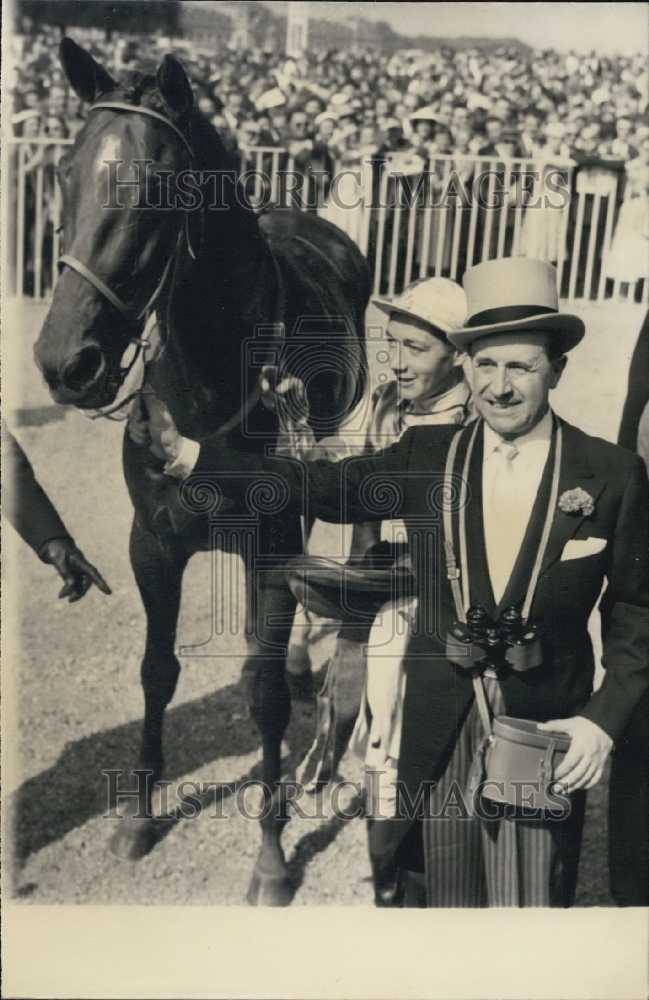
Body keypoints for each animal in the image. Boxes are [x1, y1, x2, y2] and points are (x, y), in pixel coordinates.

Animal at [34, 41, 370, 908]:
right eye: (64, 172)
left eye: (157, 185)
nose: (64, 361)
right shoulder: (152, 542)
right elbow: (157, 671)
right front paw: (137, 816)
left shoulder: (271, 544)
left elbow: (263, 694)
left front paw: (272, 856)